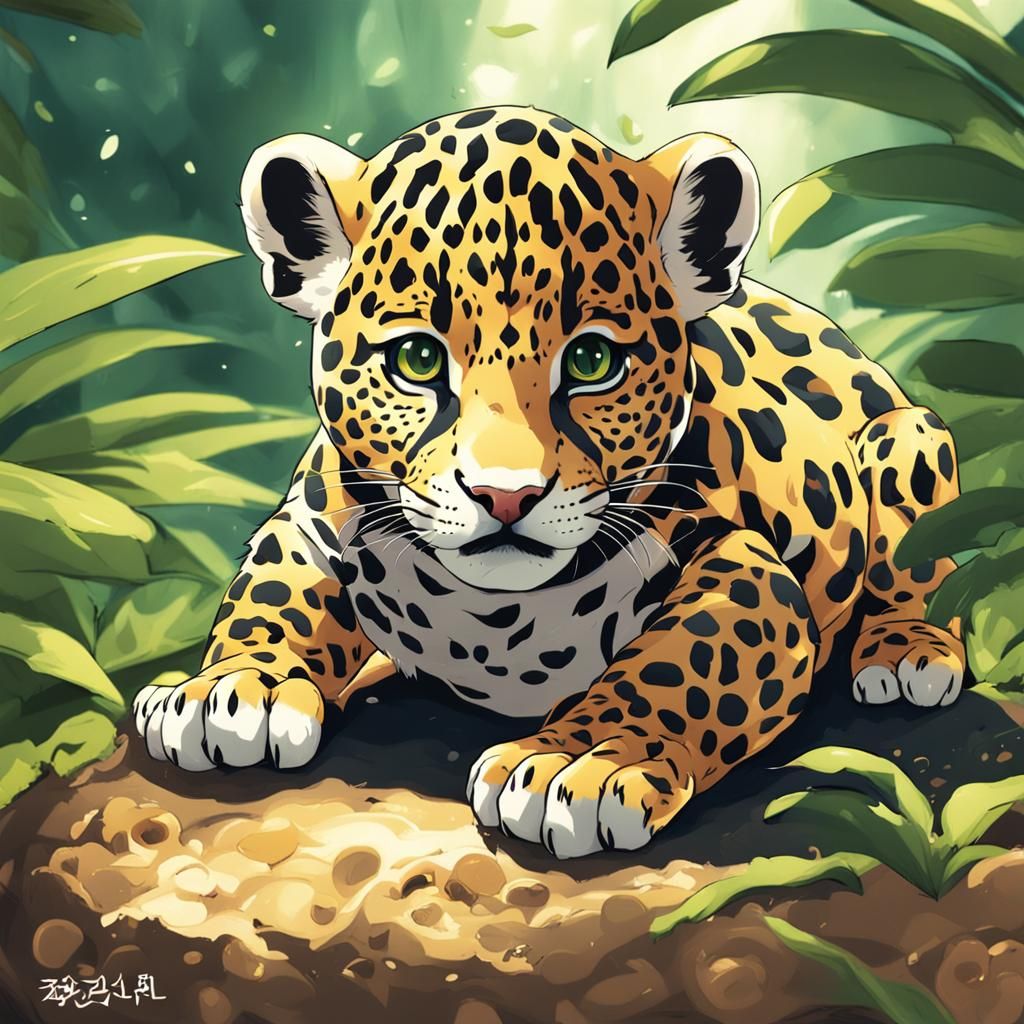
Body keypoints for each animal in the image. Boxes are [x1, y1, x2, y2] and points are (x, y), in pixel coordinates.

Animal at [133, 106, 965, 858]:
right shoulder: (312, 517)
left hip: (909, 440)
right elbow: (273, 592)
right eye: (417, 359)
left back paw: (905, 654)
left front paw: (583, 761)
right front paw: (232, 688)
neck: (489, 617)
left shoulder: (743, 563)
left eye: (594, 361)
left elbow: (675, 663)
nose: (505, 495)